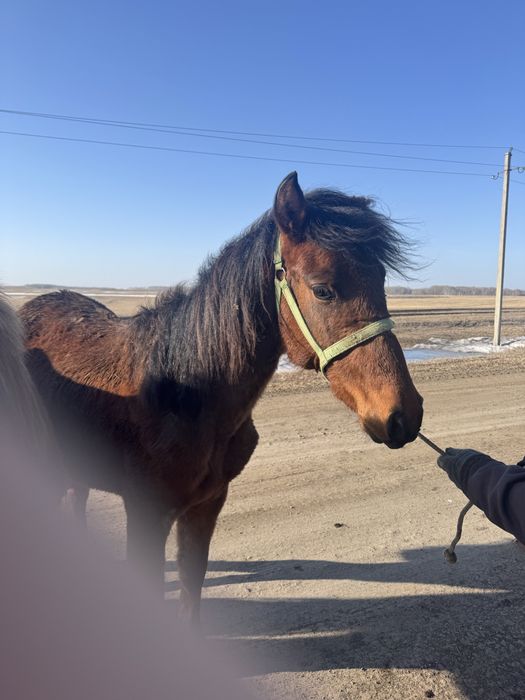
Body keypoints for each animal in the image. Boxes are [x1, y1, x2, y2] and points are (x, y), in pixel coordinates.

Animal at [20, 172, 423, 623]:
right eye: (323, 290)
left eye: (381, 280)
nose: (402, 415)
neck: (185, 394)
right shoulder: (145, 514)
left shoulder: (207, 506)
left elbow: (191, 589)